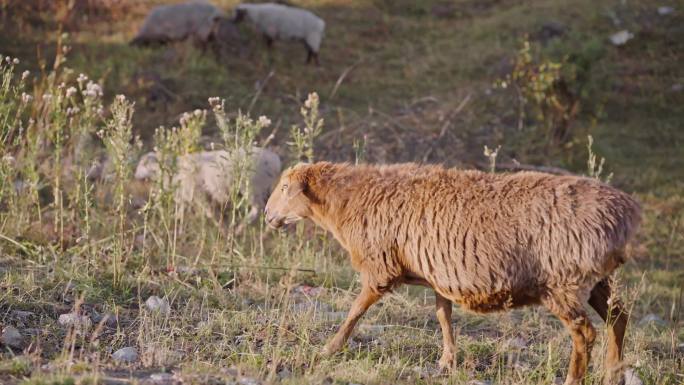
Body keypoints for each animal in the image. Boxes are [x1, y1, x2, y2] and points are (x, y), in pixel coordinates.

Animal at [134, 147, 280, 225]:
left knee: (258, 209)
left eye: (142, 164)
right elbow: (181, 211)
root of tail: (275, 161)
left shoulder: (198, 194)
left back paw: (240, 227)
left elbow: (210, 213)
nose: (134, 175)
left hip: (251, 187)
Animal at [264, 162, 644, 384]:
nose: (267, 215)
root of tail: (625, 212)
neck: (352, 199)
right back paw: (613, 373)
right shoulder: (439, 274)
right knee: (617, 317)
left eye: (284, 188)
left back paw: (575, 379)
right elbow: (443, 316)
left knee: (584, 333)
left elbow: (355, 312)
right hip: (595, 280)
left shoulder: (381, 267)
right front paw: (447, 361)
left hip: (563, 282)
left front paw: (329, 348)